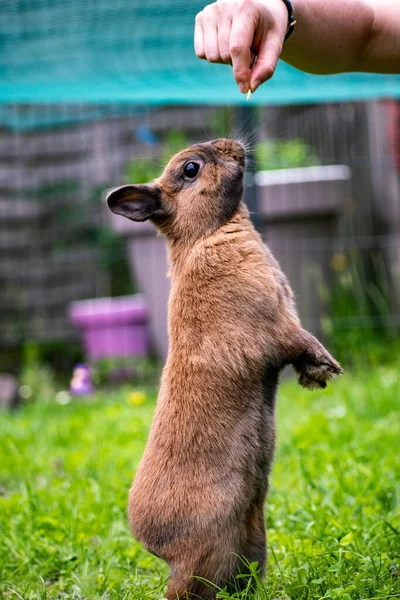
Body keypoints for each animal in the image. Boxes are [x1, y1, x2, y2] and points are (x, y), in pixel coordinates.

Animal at [107, 139, 344, 600]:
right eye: (191, 169)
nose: (233, 145)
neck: (209, 233)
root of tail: (163, 552)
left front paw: (316, 375)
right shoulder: (277, 327)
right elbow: (299, 341)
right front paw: (327, 367)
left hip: (250, 538)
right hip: (211, 551)